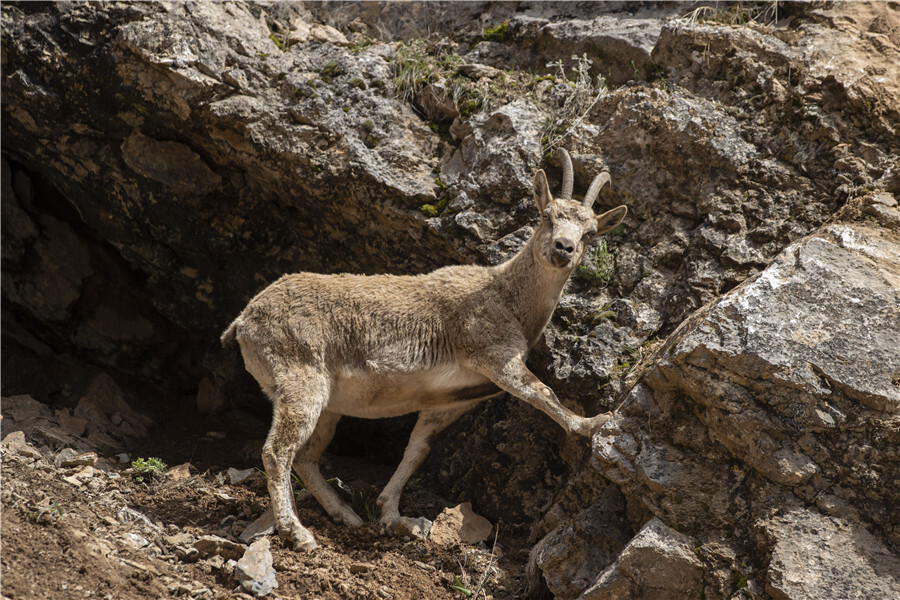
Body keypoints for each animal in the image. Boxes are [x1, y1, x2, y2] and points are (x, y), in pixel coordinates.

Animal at [221, 149, 624, 548]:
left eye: (590, 233)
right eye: (546, 215)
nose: (564, 248)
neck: (507, 296)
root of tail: (243, 322)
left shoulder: (448, 401)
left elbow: (417, 451)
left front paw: (390, 513)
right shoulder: (493, 353)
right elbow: (541, 390)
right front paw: (592, 423)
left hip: (327, 403)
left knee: (305, 457)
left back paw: (345, 515)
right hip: (300, 377)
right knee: (277, 452)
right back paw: (298, 532)